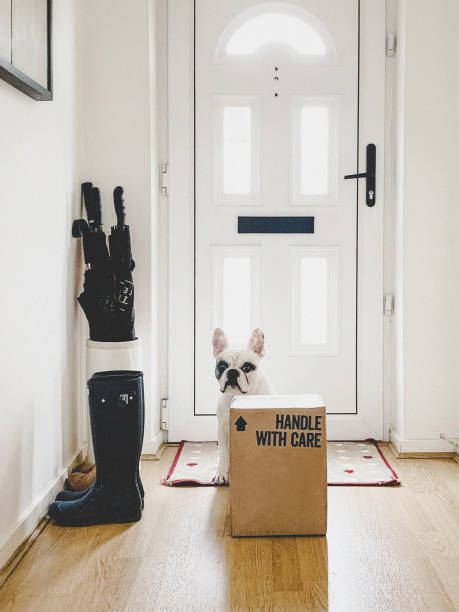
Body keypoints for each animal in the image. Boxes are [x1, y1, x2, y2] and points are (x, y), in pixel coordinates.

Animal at [211, 328, 274, 486]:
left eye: (247, 367)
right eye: (222, 366)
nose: (233, 371)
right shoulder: (222, 429)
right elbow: (223, 454)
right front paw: (221, 474)